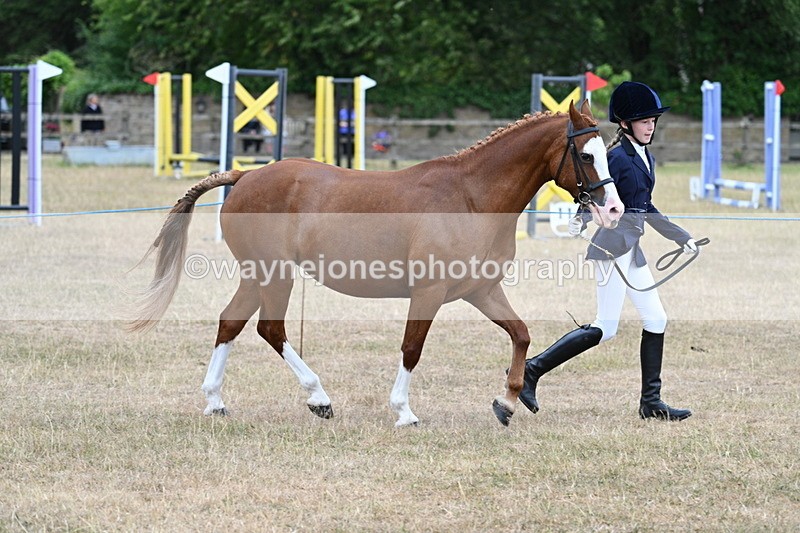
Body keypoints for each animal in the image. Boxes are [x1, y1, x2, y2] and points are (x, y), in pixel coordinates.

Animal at [130, 100, 623, 427]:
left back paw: (216, 401)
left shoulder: (482, 291)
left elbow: (520, 334)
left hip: (258, 276)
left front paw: (507, 403)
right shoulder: (428, 293)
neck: (471, 197)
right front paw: (404, 412)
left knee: (230, 322)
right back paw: (318, 398)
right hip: (275, 275)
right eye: (586, 155)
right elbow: (411, 348)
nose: (614, 209)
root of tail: (246, 174)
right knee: (270, 329)